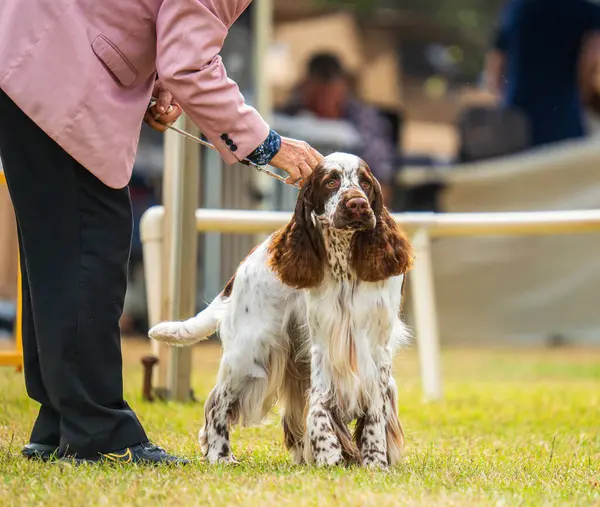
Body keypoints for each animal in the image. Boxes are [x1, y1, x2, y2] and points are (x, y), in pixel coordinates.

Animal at [149, 152, 412, 468]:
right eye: (331, 181)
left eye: (365, 182)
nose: (358, 204)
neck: (344, 267)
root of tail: (251, 257)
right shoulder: (323, 343)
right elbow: (321, 403)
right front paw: (328, 455)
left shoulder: (376, 347)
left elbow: (375, 409)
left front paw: (374, 460)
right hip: (251, 350)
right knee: (216, 403)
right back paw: (220, 456)